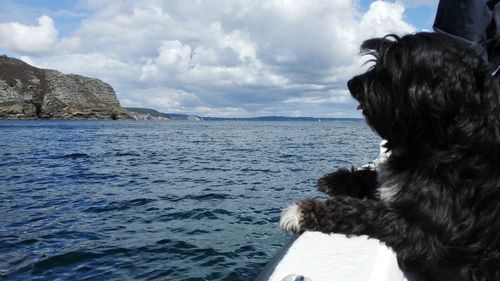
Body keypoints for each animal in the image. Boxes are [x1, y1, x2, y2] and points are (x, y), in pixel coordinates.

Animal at [280, 32, 500, 280]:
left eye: (390, 69)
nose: (351, 83)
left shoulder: (429, 239)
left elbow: (367, 211)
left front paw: (302, 211)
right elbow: (379, 175)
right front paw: (337, 179)